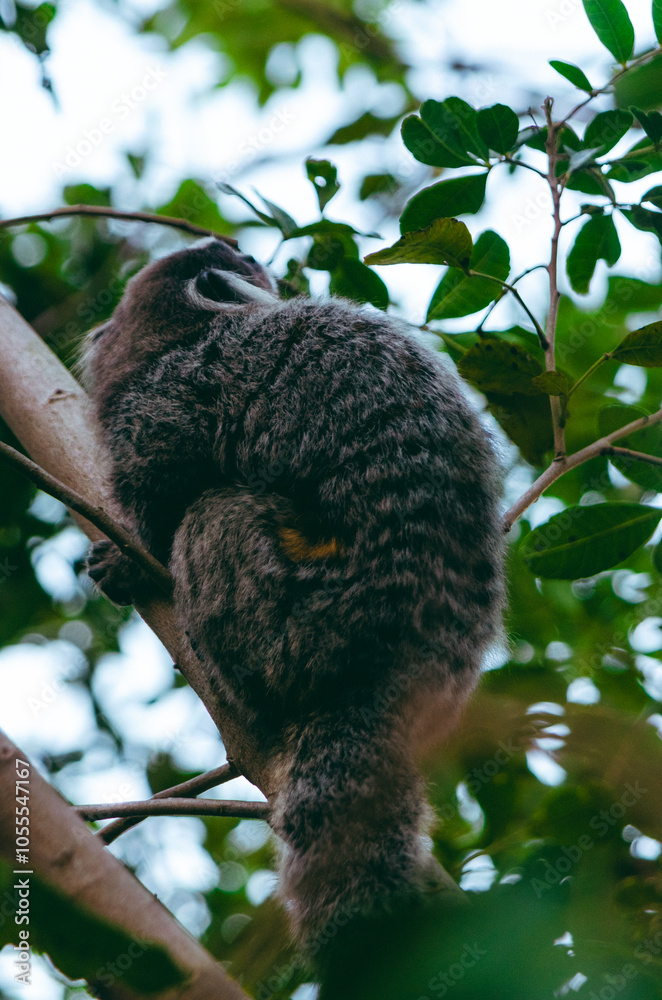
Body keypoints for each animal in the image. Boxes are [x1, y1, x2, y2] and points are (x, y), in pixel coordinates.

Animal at [83, 236, 505, 955]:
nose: (244, 248)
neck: (170, 343)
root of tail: (408, 653)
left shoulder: (167, 402)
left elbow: (162, 495)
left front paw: (130, 563)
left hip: (300, 623)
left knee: (213, 515)